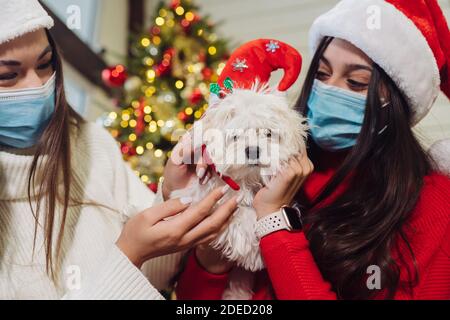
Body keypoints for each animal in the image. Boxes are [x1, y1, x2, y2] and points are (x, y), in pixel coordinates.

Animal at [171, 40, 308, 300]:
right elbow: (236, 214)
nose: (252, 150)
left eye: (268, 133)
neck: (246, 180)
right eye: (235, 136)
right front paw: (251, 247)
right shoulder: (202, 195)